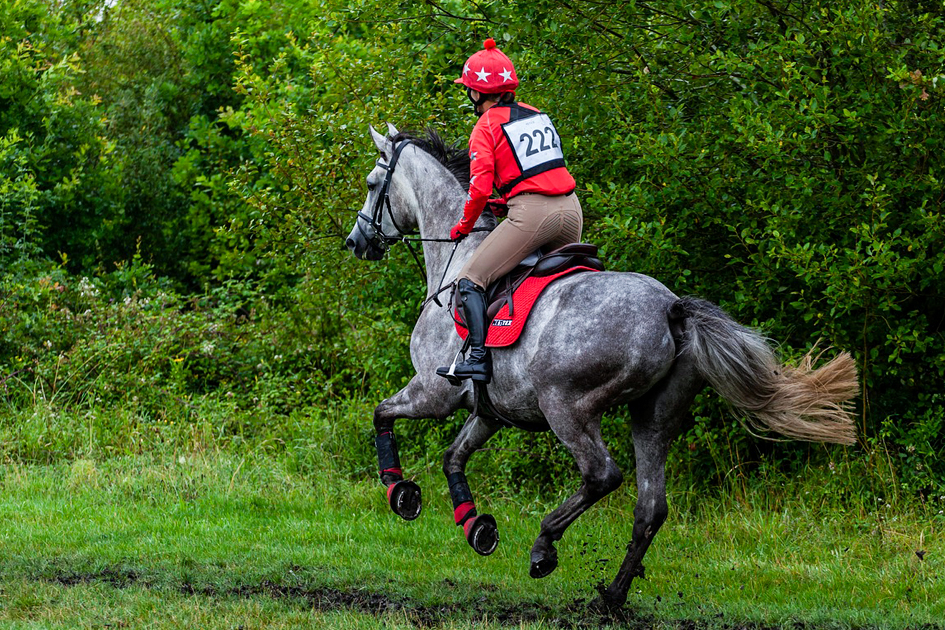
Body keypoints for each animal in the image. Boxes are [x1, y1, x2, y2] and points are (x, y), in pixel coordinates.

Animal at [345, 123, 858, 609]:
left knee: (602, 475)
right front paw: (476, 526)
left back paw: (545, 546)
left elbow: (382, 413)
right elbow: (453, 456)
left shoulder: (435, 394)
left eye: (371, 184)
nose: (357, 241)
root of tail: (671, 309)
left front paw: (400, 492)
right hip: (653, 415)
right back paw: (612, 595)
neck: (460, 261)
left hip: (566, 406)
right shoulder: (491, 411)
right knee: (650, 506)